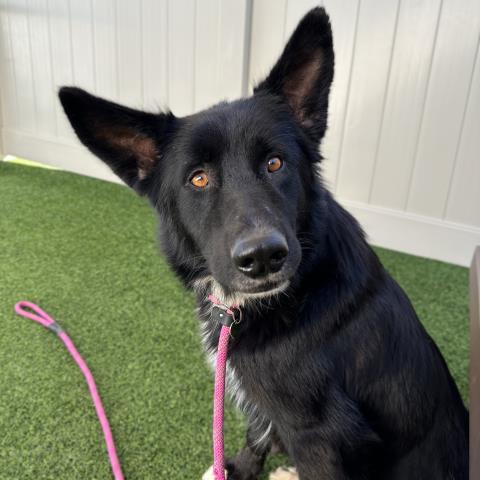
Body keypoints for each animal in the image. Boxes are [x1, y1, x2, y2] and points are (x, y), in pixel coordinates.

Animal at [59, 7, 468, 479]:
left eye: (275, 163)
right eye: (198, 179)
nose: (263, 258)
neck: (294, 296)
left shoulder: (319, 435)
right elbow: (258, 430)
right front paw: (236, 467)